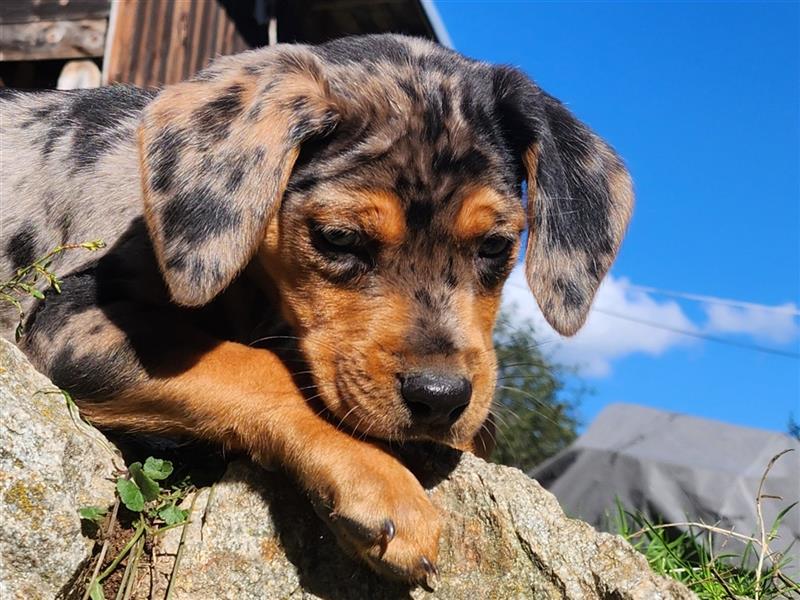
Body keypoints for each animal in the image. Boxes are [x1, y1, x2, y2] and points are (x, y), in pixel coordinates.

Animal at [0, 34, 632, 580]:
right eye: (338, 239)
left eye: (497, 246)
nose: (440, 398)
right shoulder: (69, 320)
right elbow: (256, 368)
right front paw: (383, 483)